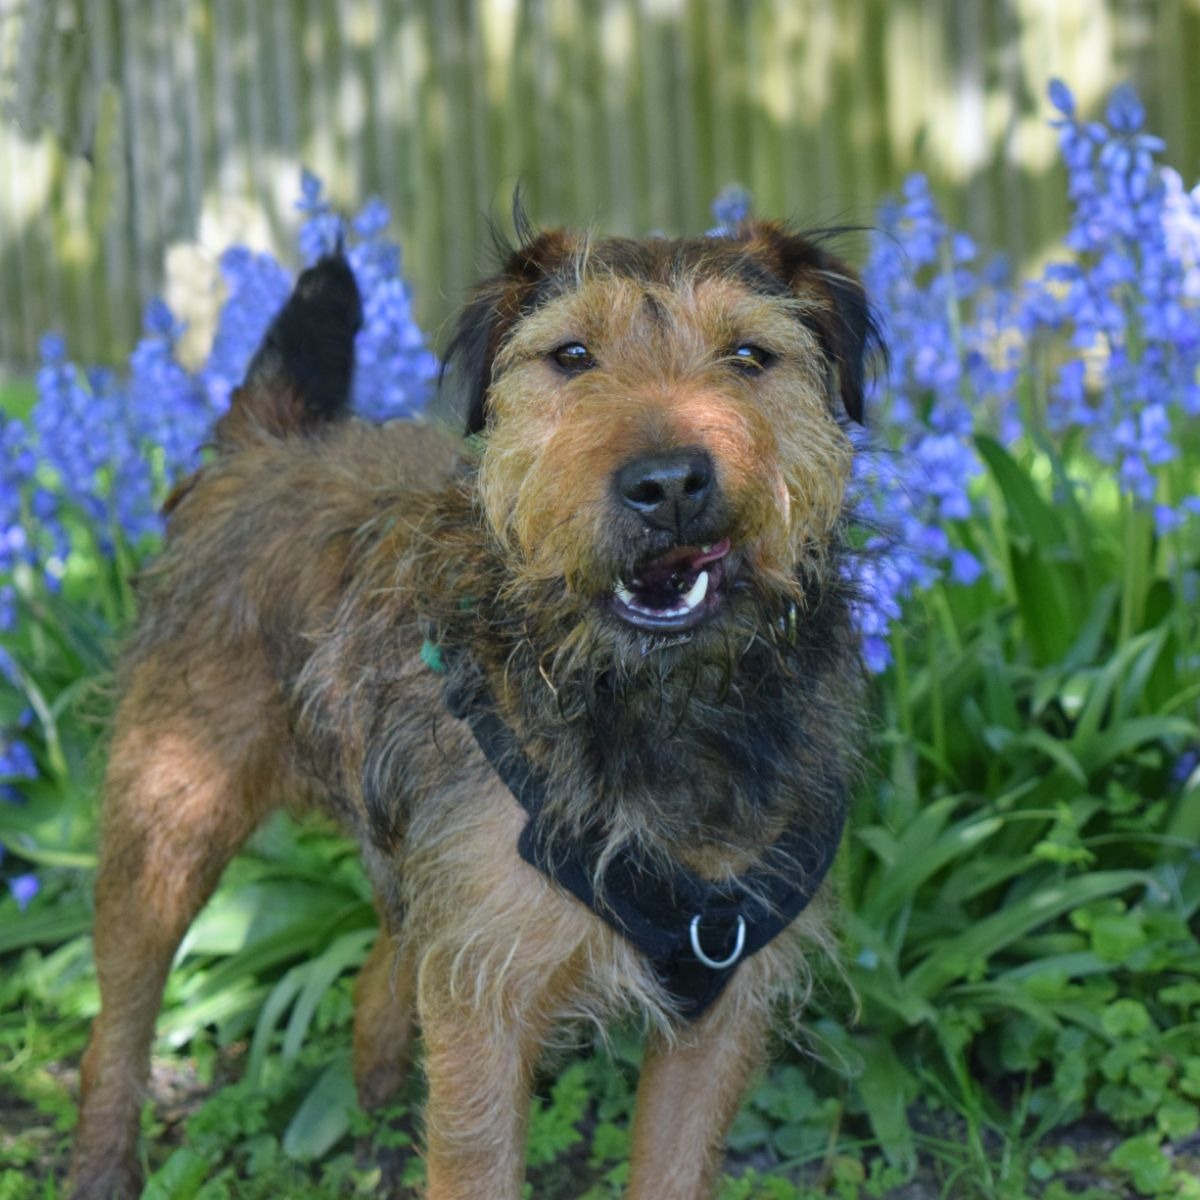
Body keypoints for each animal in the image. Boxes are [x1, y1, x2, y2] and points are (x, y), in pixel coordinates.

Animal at [70, 218, 883, 1200]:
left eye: (750, 355)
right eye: (572, 355)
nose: (667, 483)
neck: (651, 704)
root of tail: (267, 446)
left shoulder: (718, 1010)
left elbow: (673, 1169)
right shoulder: (483, 1001)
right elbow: (475, 1164)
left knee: (378, 973)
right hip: (170, 817)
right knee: (117, 1018)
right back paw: (102, 1163)